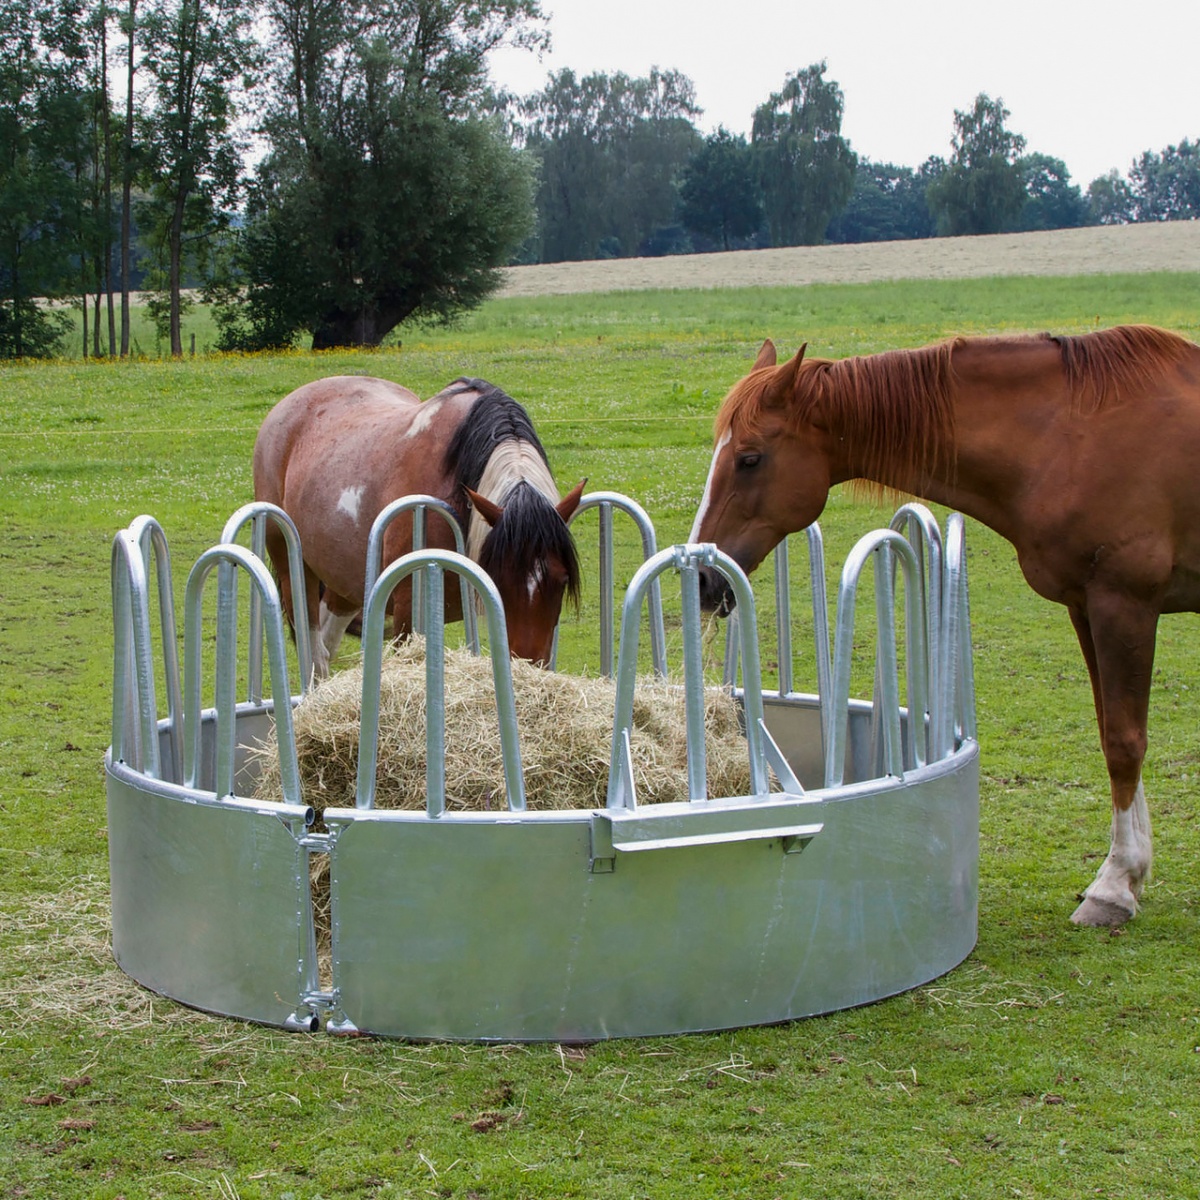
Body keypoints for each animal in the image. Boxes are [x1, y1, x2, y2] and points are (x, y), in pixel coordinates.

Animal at [254, 374, 585, 676]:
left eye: (562, 580)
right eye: (498, 580)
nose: (527, 667)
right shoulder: (407, 608)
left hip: (344, 582)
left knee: (327, 638)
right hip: (293, 569)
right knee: (314, 650)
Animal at [691, 326, 1200, 926]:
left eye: (750, 458)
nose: (702, 576)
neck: (1067, 437)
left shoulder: (1124, 604)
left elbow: (1125, 741)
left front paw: (1114, 886)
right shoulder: (1086, 607)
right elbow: (1109, 731)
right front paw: (1131, 871)